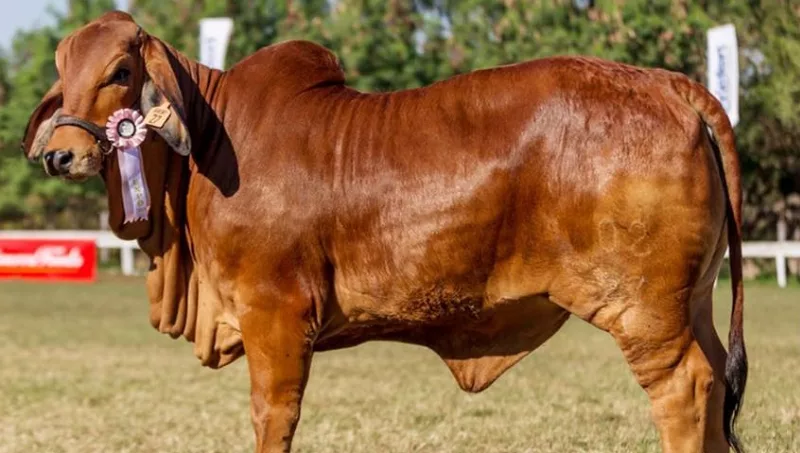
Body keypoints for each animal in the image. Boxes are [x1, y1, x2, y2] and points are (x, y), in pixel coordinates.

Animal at [21, 11, 747, 453]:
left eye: (120, 72)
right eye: (63, 73)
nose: (59, 155)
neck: (206, 145)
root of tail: (669, 85)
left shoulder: (275, 312)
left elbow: (272, 413)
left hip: (645, 311)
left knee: (686, 389)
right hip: (692, 303)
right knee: (716, 382)